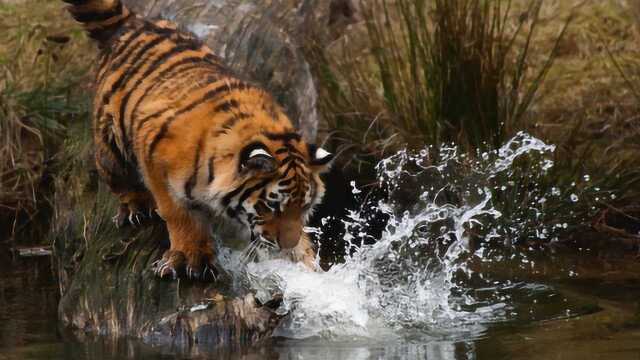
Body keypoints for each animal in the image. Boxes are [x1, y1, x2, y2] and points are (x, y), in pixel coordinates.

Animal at [62, 0, 332, 282]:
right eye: (272, 206)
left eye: (304, 207)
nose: (287, 244)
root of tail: (134, 21)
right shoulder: (155, 161)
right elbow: (180, 216)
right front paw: (189, 258)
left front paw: (307, 262)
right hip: (111, 146)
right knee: (117, 176)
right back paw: (136, 206)